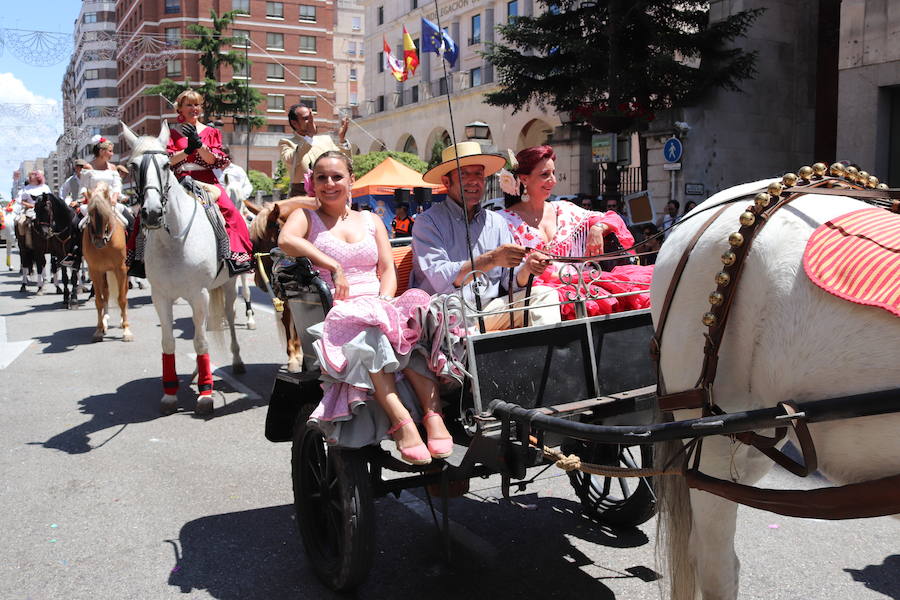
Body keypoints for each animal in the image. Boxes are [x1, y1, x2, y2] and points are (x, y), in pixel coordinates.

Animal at [82, 183, 132, 342]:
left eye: (106, 214)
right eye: (90, 214)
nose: (99, 242)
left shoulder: (120, 269)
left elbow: (122, 299)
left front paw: (127, 331)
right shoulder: (95, 271)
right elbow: (99, 300)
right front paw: (99, 329)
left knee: (123, 293)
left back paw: (121, 321)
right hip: (104, 273)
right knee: (106, 293)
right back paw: (105, 321)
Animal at [123, 119, 244, 414]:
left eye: (166, 165)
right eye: (133, 166)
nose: (152, 213)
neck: (173, 240)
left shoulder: (198, 294)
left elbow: (200, 342)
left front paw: (206, 394)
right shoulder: (161, 296)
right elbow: (169, 341)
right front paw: (170, 394)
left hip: (229, 284)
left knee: (230, 317)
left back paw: (235, 362)